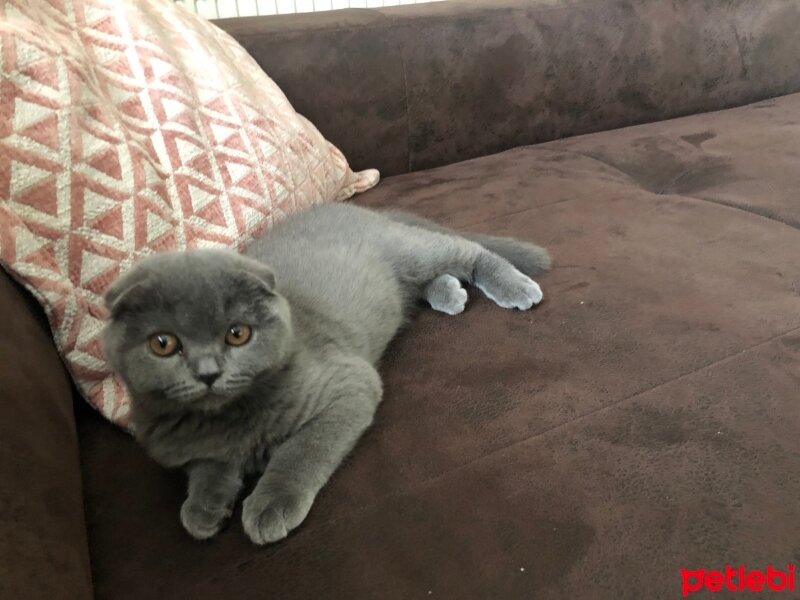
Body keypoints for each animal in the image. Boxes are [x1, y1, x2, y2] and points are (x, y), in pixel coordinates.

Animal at [101, 204, 552, 548]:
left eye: (237, 333)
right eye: (164, 343)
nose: (208, 371)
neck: (231, 418)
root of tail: (362, 208)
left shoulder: (348, 385)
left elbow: (302, 450)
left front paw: (271, 503)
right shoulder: (192, 447)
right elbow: (207, 466)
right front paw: (205, 507)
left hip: (408, 250)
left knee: (465, 251)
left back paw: (512, 286)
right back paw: (449, 293)